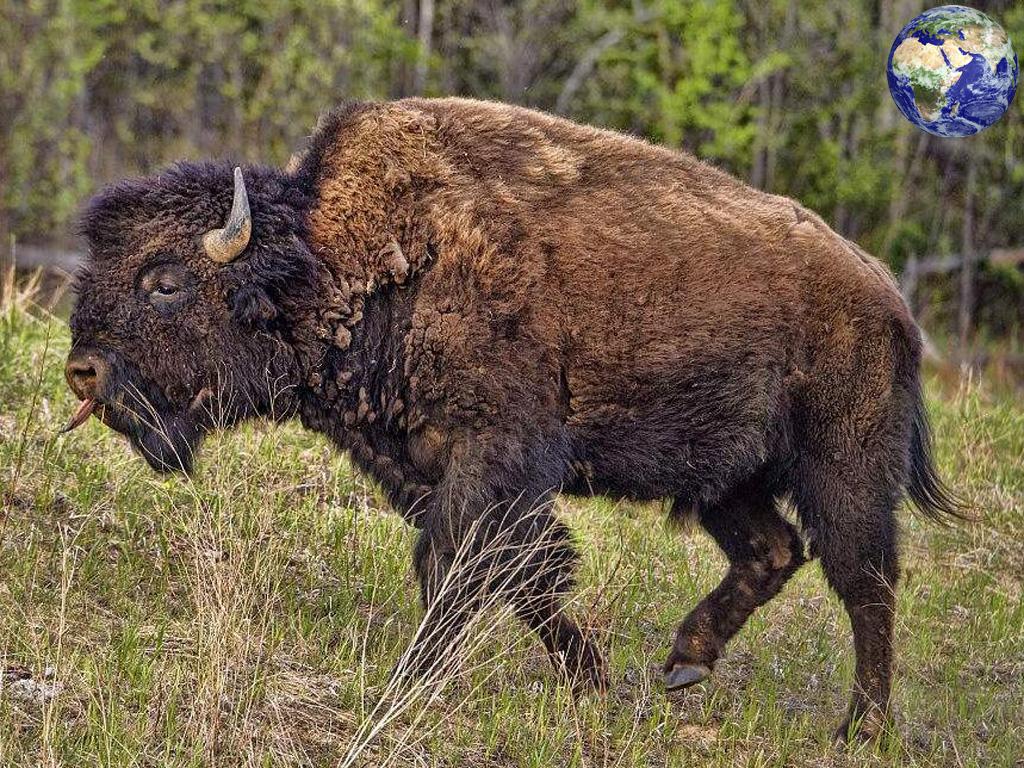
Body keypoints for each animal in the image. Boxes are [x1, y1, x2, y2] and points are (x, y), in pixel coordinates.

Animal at [64, 96, 958, 741]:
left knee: (864, 579)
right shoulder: (425, 466)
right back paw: (684, 664)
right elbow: (521, 574)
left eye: (165, 281)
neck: (348, 259)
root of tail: (888, 295)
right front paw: (592, 680)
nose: (84, 370)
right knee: (773, 551)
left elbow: (457, 564)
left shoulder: (492, 457)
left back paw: (860, 728)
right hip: (721, 479)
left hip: (843, 467)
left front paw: (409, 686)